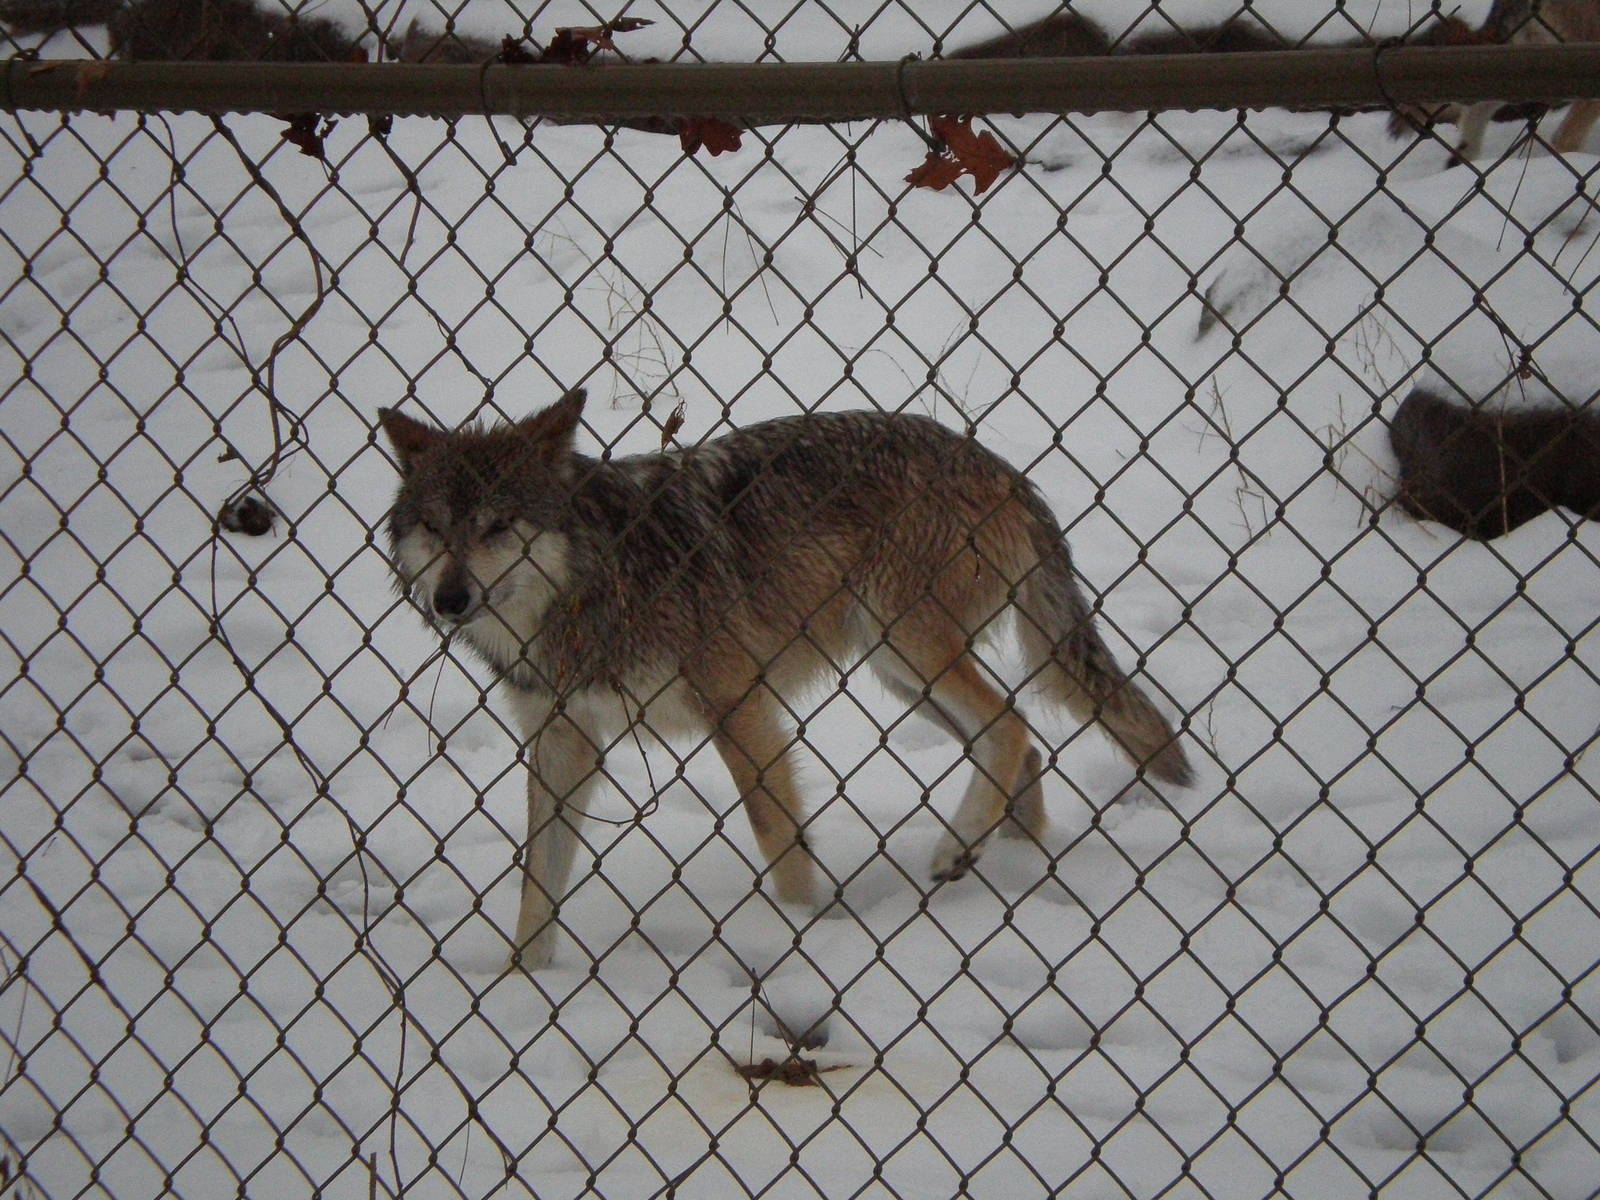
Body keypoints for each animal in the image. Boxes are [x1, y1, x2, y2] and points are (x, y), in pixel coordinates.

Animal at [379, 392, 1193, 969]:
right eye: (434, 529)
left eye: (498, 527)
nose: (450, 600)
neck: (596, 579)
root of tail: (1004, 468)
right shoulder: (562, 741)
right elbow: (535, 887)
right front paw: (522, 994)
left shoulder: (738, 705)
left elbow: (778, 838)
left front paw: (803, 938)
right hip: (900, 674)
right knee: (1021, 745)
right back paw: (1004, 862)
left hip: (909, 650)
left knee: (1013, 724)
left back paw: (959, 848)